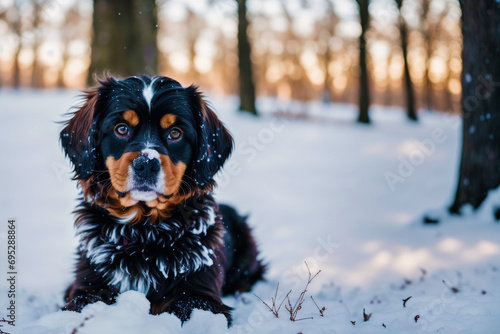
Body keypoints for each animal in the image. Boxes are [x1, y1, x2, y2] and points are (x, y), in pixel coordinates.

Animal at [60, 74, 266, 324]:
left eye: (175, 133)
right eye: (121, 128)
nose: (146, 164)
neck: (143, 233)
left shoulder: (202, 295)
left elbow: (186, 308)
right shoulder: (87, 283)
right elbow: (84, 302)